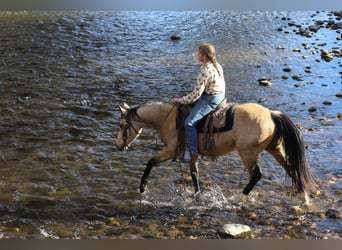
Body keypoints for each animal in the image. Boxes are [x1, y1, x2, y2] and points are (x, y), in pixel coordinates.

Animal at [116, 101, 316, 205]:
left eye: (121, 125)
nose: (118, 146)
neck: (169, 120)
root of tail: (271, 114)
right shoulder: (193, 154)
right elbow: (194, 174)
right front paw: (197, 195)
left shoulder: (170, 150)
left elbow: (150, 162)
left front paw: (142, 188)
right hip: (275, 149)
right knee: (292, 169)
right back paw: (304, 198)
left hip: (248, 153)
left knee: (256, 175)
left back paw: (240, 196)